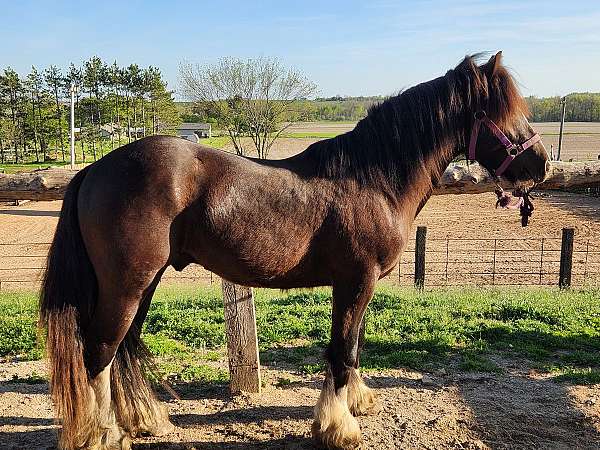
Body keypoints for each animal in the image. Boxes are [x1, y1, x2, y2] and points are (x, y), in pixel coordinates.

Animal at [41, 51, 548, 448]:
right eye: (506, 113)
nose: (540, 165)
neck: (372, 179)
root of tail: (95, 169)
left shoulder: (358, 287)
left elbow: (353, 346)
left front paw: (356, 403)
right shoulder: (355, 282)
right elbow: (342, 350)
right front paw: (338, 427)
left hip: (144, 282)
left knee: (121, 347)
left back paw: (143, 421)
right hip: (128, 284)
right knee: (98, 353)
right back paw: (102, 435)